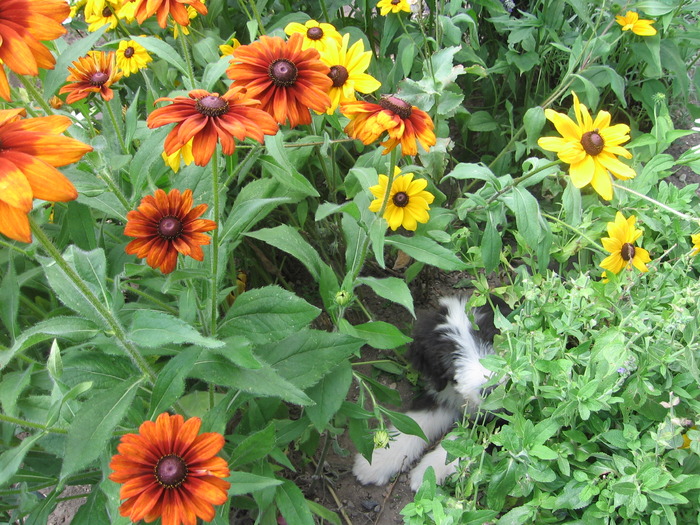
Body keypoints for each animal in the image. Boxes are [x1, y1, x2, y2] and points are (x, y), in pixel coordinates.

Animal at [352, 294, 506, 492]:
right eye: (451, 357)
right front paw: (378, 459)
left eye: (494, 339)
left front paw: (431, 470)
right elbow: (415, 422)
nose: (490, 390)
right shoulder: (441, 393)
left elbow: (471, 438)